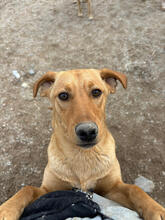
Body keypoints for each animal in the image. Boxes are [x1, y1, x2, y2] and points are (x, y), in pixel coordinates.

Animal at [0, 68, 165, 218]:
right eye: (63, 95)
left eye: (96, 92)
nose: (87, 132)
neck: (83, 155)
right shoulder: (48, 190)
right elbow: (27, 189)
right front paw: (7, 209)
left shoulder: (112, 188)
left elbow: (135, 189)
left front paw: (156, 209)